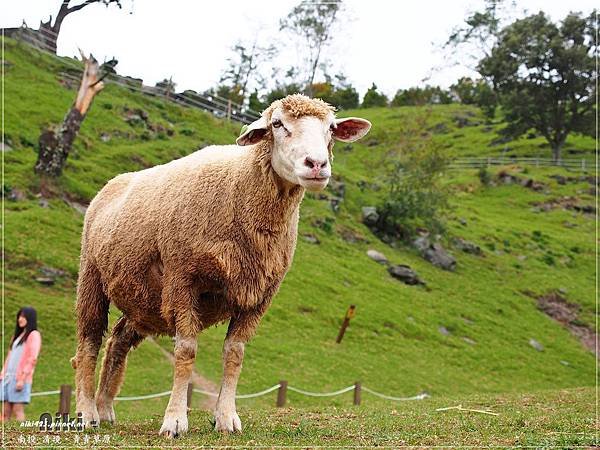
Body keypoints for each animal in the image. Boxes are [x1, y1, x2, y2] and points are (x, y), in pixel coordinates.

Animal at [70, 94, 370, 436]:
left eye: (331, 128)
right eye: (277, 124)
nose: (317, 164)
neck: (241, 191)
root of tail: (114, 182)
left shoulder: (260, 296)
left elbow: (235, 354)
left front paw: (226, 416)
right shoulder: (182, 279)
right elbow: (186, 351)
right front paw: (175, 420)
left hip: (143, 299)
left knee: (118, 340)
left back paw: (106, 407)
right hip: (91, 276)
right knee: (88, 344)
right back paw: (86, 412)